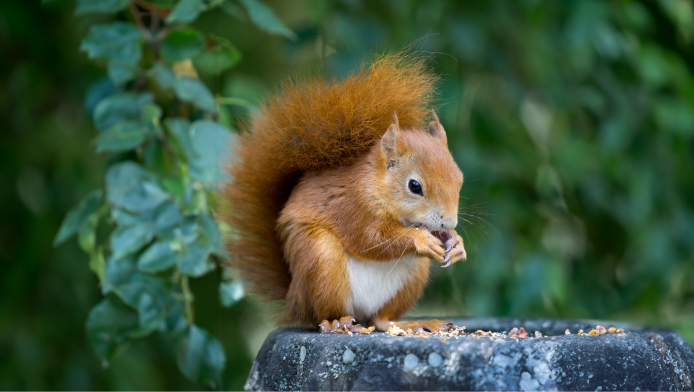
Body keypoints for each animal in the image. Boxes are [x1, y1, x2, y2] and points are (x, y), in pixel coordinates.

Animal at [223, 53, 470, 332]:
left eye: (459, 179)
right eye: (414, 186)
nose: (450, 222)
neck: (377, 188)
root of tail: (294, 299)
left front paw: (456, 243)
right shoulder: (352, 206)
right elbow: (371, 239)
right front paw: (421, 240)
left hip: (413, 276)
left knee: (381, 319)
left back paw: (411, 324)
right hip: (321, 260)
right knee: (321, 315)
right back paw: (335, 323)